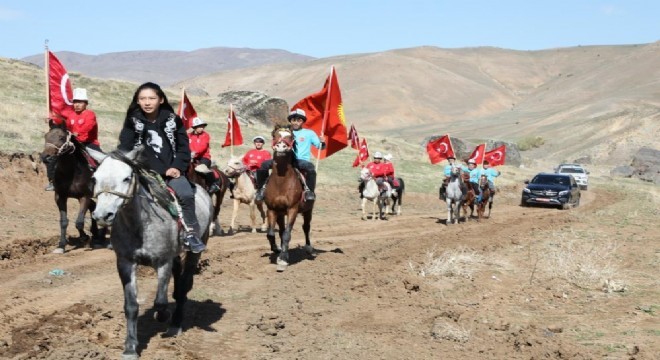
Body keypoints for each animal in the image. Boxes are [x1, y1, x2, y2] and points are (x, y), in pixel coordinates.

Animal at [87, 147, 211, 360]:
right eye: (95, 178)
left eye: (127, 178)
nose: (102, 215)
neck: (140, 225)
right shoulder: (125, 263)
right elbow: (131, 306)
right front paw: (130, 347)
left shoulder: (162, 262)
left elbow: (160, 302)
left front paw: (163, 316)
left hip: (197, 247)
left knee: (184, 284)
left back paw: (175, 324)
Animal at [262, 125, 314, 272]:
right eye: (275, 135)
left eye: (290, 137)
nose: (281, 146)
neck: (281, 180)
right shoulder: (272, 209)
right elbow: (271, 233)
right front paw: (277, 250)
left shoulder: (292, 209)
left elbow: (287, 234)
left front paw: (283, 259)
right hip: (280, 213)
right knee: (280, 230)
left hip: (308, 210)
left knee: (306, 227)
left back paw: (308, 247)